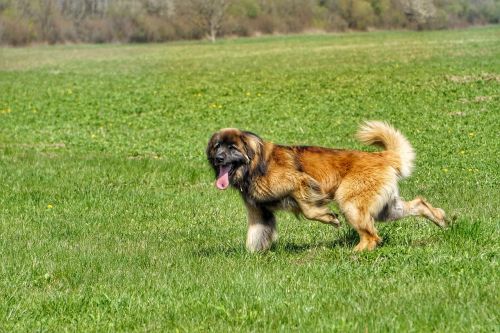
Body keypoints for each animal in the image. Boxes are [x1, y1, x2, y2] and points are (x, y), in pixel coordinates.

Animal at [205, 122, 448, 252]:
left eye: (232, 147)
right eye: (217, 146)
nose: (218, 158)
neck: (254, 165)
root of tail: (381, 156)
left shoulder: (299, 181)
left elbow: (308, 209)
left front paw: (329, 218)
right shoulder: (259, 212)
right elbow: (255, 236)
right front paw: (251, 256)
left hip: (350, 203)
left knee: (372, 237)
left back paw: (355, 252)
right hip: (386, 208)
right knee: (418, 204)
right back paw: (441, 220)